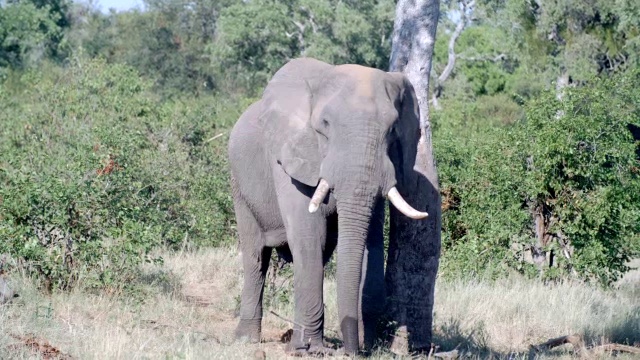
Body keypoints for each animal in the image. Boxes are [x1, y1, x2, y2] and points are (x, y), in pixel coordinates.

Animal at [228, 57, 428, 354]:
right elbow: (310, 235)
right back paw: (247, 339)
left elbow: (370, 241)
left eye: (392, 129)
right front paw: (309, 350)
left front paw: (365, 345)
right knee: (256, 258)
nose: (352, 351)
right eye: (324, 124)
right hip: (239, 185)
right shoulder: (289, 158)